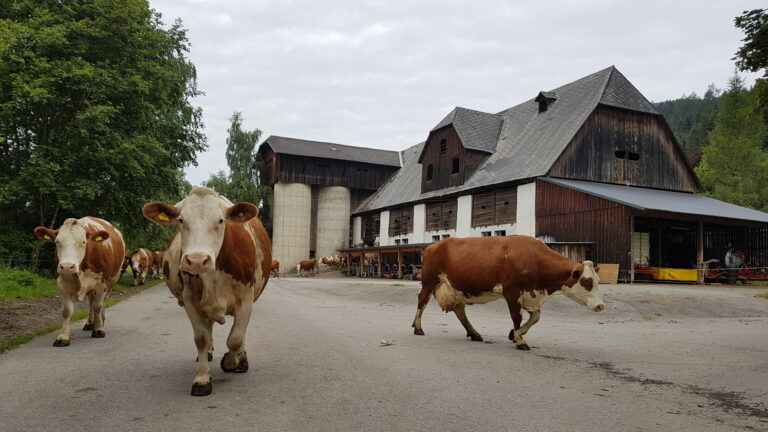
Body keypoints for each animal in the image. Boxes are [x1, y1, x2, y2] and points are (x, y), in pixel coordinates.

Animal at [33, 218, 125, 346]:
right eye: (57, 241)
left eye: (83, 242)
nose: (67, 266)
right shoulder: (62, 283)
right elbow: (67, 311)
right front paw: (64, 336)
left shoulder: (101, 284)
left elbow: (98, 306)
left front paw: (99, 329)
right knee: (91, 302)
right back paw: (90, 323)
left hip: (112, 281)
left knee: (103, 302)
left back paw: (101, 320)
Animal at [142, 187, 272, 396]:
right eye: (181, 220)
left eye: (220, 220)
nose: (197, 260)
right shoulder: (190, 300)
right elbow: (201, 338)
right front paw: (202, 379)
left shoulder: (245, 299)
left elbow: (235, 338)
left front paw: (231, 361)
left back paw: (242, 359)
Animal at [412, 236, 604, 352]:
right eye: (586, 281)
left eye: (598, 280)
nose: (601, 306)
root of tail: (432, 246)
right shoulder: (512, 292)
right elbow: (517, 317)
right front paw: (520, 340)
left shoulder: (529, 295)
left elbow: (535, 317)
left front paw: (515, 334)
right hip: (430, 281)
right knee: (422, 301)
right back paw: (418, 328)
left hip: (457, 289)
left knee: (460, 311)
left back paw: (474, 333)